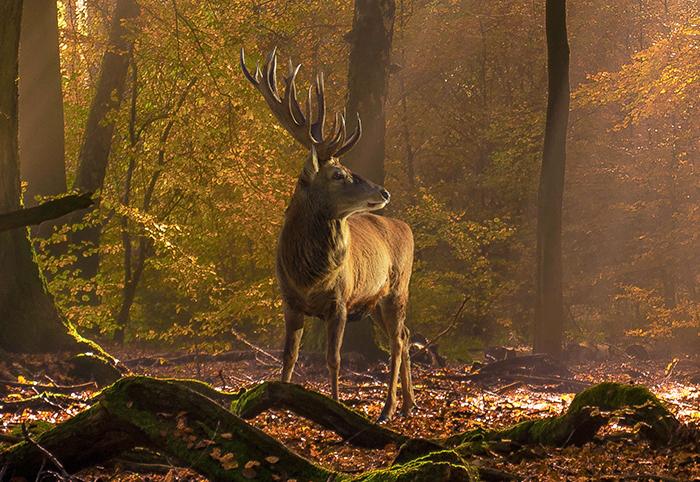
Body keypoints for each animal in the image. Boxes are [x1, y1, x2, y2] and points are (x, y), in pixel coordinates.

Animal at [241, 48, 416, 421]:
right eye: (338, 174)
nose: (384, 192)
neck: (310, 276)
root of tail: (406, 227)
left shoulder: (340, 301)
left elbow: (333, 359)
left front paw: (335, 404)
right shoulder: (289, 301)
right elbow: (289, 356)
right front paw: (280, 402)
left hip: (398, 288)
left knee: (397, 342)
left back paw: (388, 407)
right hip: (373, 301)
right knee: (407, 336)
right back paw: (409, 404)